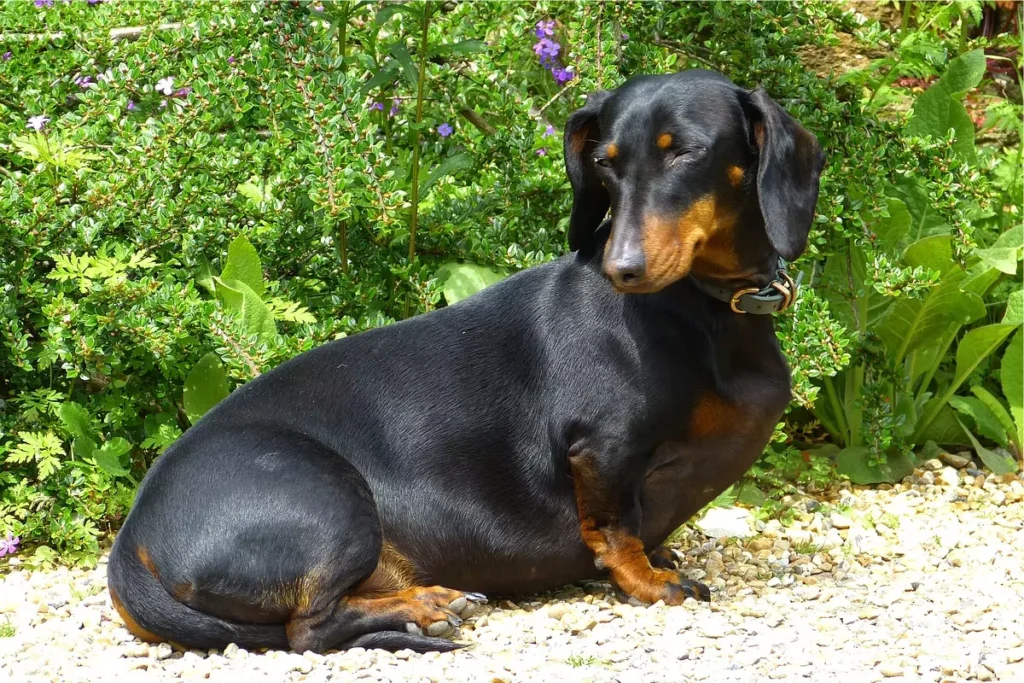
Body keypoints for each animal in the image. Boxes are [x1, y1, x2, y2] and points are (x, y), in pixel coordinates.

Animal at [108, 69, 823, 651]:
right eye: (605, 162)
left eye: (688, 153)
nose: (622, 270)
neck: (703, 306)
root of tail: (130, 544)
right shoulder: (606, 448)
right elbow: (615, 530)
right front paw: (651, 581)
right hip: (333, 503)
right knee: (309, 629)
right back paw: (426, 606)